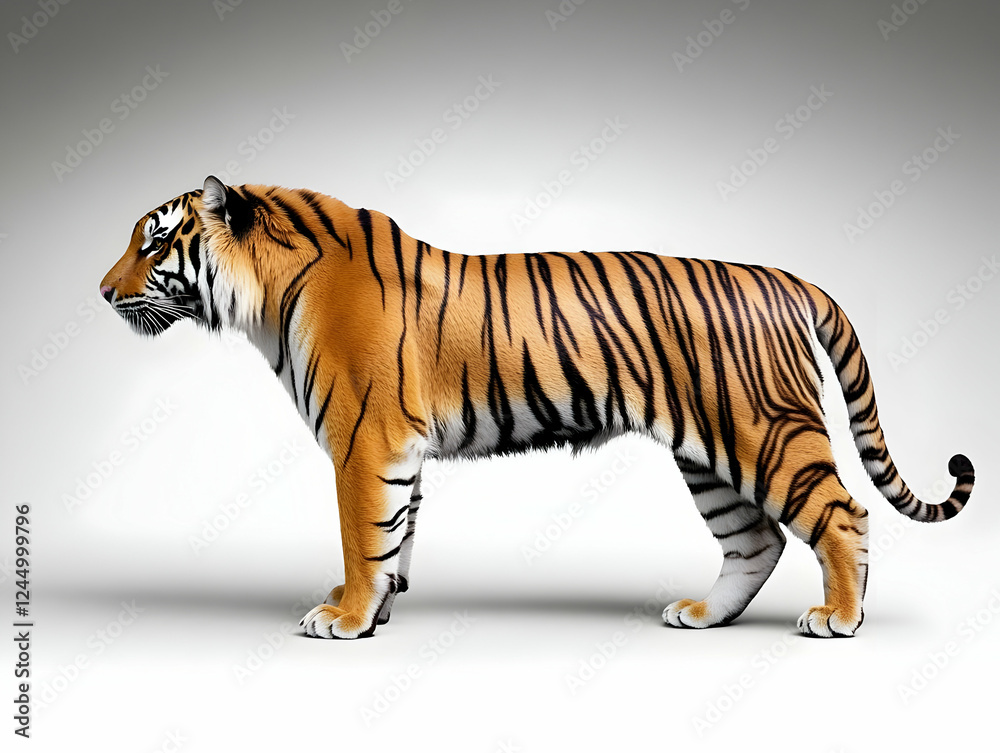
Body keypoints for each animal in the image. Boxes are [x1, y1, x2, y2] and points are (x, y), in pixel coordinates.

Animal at [99, 176, 975, 639]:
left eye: (153, 243)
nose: (103, 291)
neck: (266, 293)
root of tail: (787, 278)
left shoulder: (363, 441)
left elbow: (359, 536)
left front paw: (343, 617)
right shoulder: (398, 451)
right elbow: (394, 537)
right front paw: (378, 610)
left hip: (764, 432)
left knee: (842, 515)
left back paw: (839, 618)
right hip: (709, 456)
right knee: (755, 540)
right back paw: (702, 614)